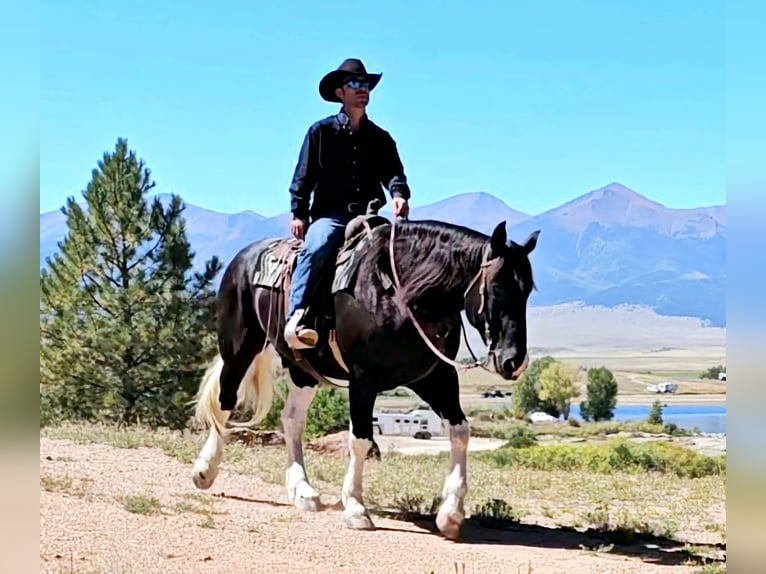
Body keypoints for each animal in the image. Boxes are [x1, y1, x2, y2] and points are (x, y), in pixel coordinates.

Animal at [191, 208, 540, 544]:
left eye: (528, 291)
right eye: (497, 286)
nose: (514, 361)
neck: (400, 295)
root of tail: (245, 256)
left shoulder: (435, 377)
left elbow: (460, 431)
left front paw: (451, 513)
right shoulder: (363, 380)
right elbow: (360, 440)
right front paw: (356, 509)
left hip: (304, 369)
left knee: (291, 419)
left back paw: (303, 491)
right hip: (239, 346)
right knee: (225, 399)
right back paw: (205, 471)